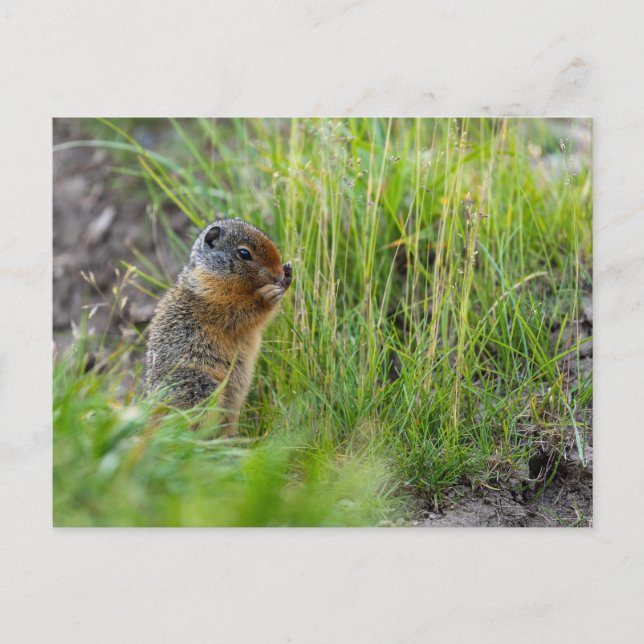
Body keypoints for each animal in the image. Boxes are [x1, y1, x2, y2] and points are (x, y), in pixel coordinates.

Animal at [145, 218, 292, 434]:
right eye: (244, 253)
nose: (278, 274)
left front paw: (288, 275)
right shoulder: (213, 298)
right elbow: (239, 311)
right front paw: (267, 295)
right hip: (198, 388)